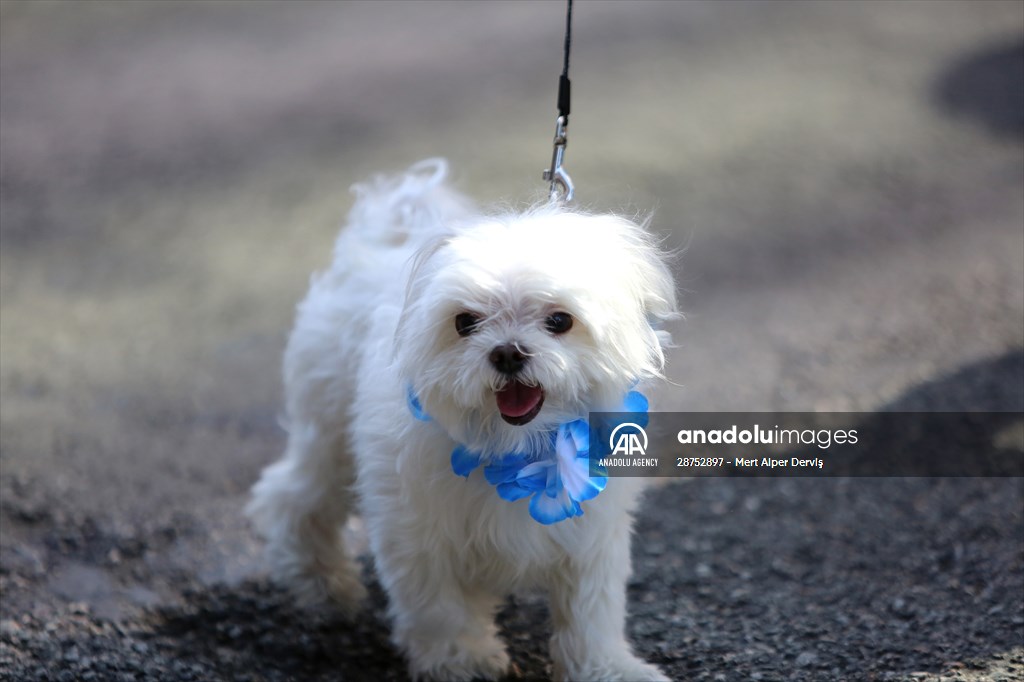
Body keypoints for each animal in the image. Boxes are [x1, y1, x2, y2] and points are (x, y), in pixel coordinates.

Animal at [247, 159, 675, 679]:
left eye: (559, 321)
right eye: (465, 322)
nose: (508, 352)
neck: (516, 446)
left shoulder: (591, 534)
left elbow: (590, 610)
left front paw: (607, 666)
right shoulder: (417, 530)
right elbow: (438, 605)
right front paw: (463, 659)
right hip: (329, 434)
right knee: (293, 496)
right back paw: (323, 585)